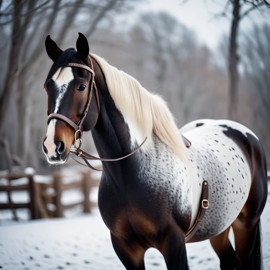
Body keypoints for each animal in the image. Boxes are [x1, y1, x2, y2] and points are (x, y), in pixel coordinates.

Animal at [42, 32, 268, 268]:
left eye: (81, 86)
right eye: (48, 86)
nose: (53, 146)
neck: (129, 176)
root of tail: (247, 136)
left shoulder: (174, 243)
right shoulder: (126, 249)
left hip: (246, 225)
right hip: (219, 228)